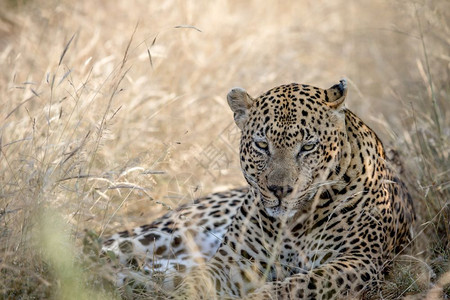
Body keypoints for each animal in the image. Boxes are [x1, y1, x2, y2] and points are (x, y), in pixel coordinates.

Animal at [102, 78, 414, 298]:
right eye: (262, 145)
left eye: (308, 146)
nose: (280, 190)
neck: (294, 225)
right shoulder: (234, 261)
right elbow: (200, 283)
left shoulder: (358, 261)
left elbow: (300, 285)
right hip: (167, 233)